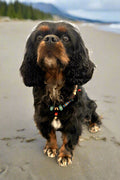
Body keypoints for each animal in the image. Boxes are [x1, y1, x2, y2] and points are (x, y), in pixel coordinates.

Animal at [19, 21, 101, 167]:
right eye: (39, 37)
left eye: (66, 38)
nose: (50, 39)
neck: (54, 84)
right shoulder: (42, 117)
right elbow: (50, 134)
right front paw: (51, 148)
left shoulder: (73, 120)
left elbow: (68, 139)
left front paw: (65, 155)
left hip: (91, 104)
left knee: (94, 115)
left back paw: (94, 125)